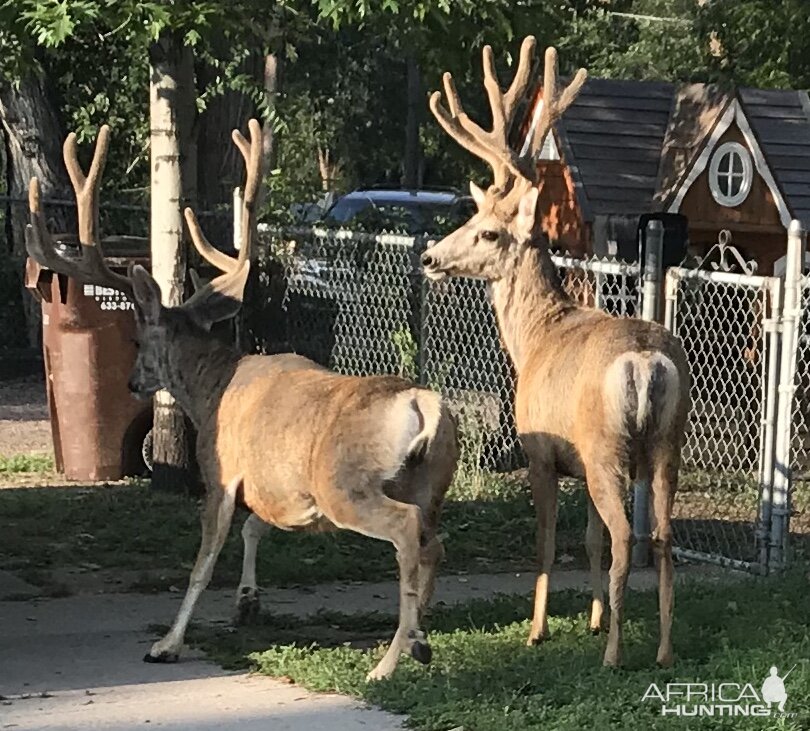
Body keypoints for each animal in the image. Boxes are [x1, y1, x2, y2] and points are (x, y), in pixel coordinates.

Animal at [25, 118, 458, 680]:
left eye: (139, 341)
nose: (133, 384)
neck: (210, 388)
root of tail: (422, 404)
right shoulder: (274, 485)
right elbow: (255, 528)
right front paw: (247, 602)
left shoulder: (220, 473)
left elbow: (203, 563)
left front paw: (167, 642)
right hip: (431, 483)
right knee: (434, 542)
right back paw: (417, 641)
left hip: (346, 484)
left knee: (407, 533)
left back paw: (387, 662)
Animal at [420, 40, 692, 668]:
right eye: (471, 217)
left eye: (488, 231)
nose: (429, 258)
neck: (536, 337)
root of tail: (646, 360)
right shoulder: (580, 463)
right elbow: (588, 539)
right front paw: (593, 618)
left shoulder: (541, 452)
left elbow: (546, 544)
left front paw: (540, 629)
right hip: (664, 445)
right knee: (662, 536)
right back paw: (663, 650)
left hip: (605, 445)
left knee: (626, 536)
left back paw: (615, 655)